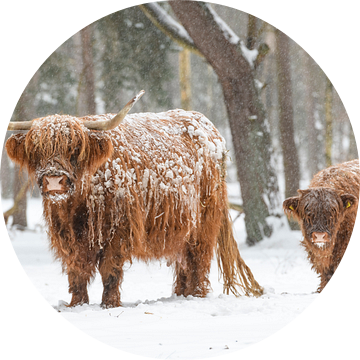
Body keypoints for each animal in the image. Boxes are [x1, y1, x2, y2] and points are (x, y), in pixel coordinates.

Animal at [4, 91, 262, 308]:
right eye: (36, 150)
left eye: (75, 148)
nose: (54, 181)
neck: (77, 206)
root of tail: (206, 125)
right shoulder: (69, 237)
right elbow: (77, 271)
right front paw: (77, 304)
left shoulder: (119, 230)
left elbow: (109, 270)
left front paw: (109, 304)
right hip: (180, 225)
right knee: (183, 261)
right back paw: (180, 294)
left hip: (204, 221)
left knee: (198, 258)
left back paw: (195, 295)